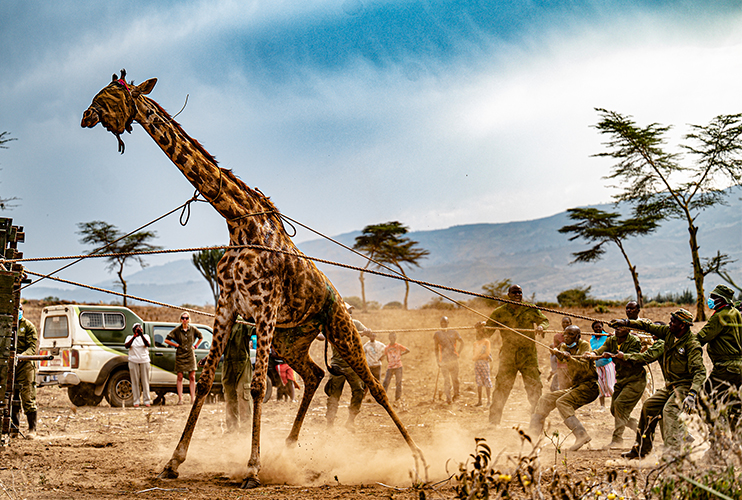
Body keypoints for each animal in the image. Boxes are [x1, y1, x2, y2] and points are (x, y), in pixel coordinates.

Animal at [81, 70, 427, 489]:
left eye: (112, 94)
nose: (86, 116)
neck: (238, 220)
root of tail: (341, 301)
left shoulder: (264, 306)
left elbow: (259, 385)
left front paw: (252, 469)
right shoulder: (227, 305)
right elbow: (205, 381)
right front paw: (173, 463)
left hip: (341, 330)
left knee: (374, 387)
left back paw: (419, 460)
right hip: (292, 339)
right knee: (314, 375)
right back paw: (288, 451)